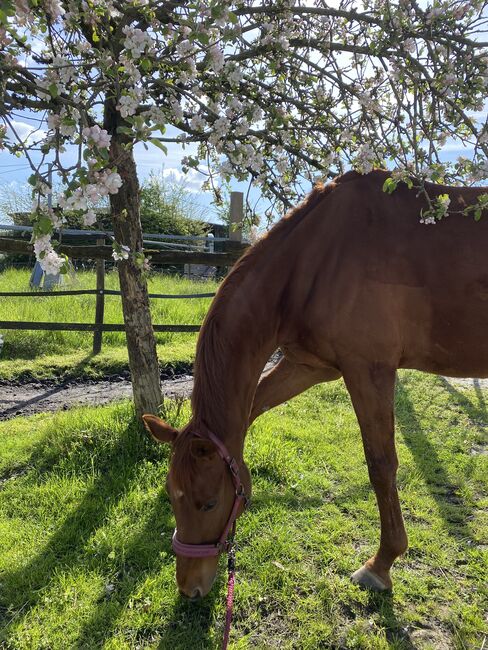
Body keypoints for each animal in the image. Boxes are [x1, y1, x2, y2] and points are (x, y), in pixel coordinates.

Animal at [142, 168, 488, 596]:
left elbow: (381, 465)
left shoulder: (368, 370)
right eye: (172, 495)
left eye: (208, 502)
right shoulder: (309, 366)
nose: (190, 588)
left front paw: (381, 563)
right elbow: (250, 412)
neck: (316, 257)